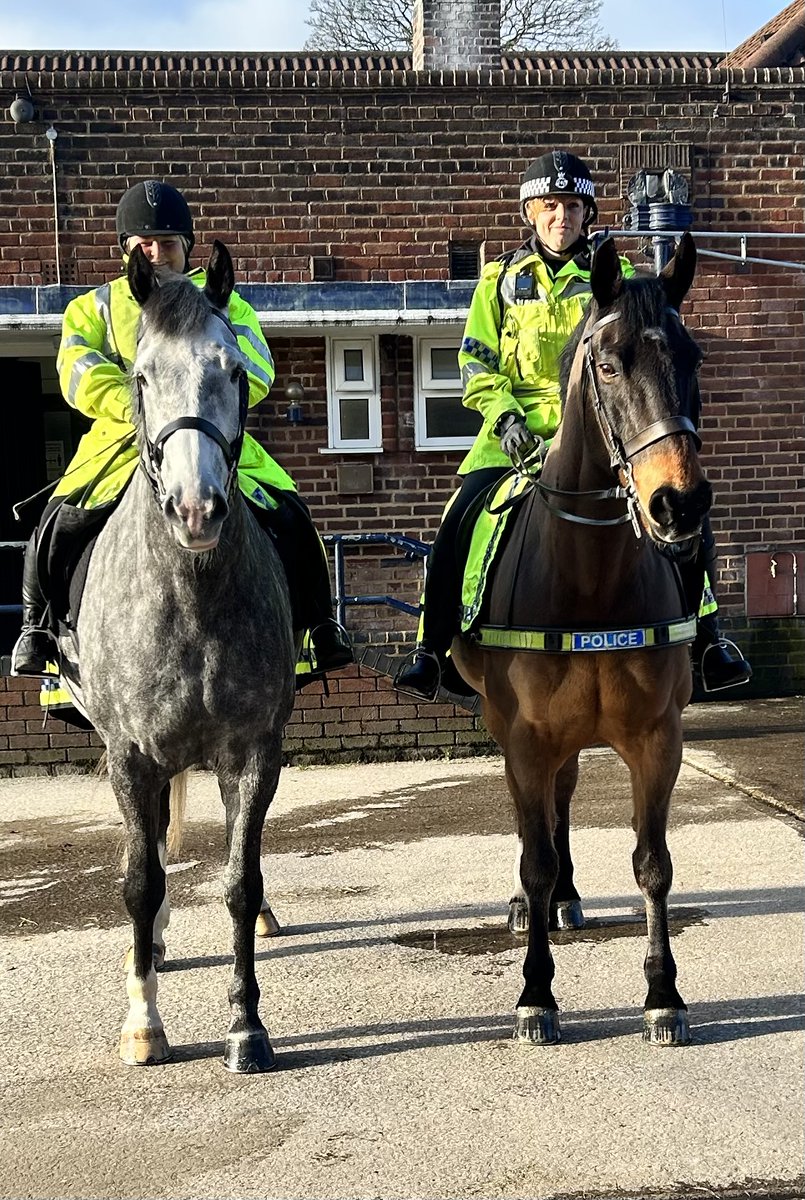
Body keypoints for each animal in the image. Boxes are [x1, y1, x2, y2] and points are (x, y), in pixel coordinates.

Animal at [66, 241, 296, 1071]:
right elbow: (140, 882)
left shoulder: (253, 754)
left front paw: (246, 1027)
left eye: (232, 369)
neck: (191, 596)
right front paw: (143, 1022)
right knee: (154, 860)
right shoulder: (130, 757)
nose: (197, 510)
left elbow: (237, 881)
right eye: (140, 376)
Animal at [452, 233, 710, 1047]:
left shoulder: (657, 737)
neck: (589, 578)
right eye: (609, 363)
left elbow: (653, 864)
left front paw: (664, 993)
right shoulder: (524, 737)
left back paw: (568, 899)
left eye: (692, 356)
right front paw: (536, 993)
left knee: (563, 800)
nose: (678, 502)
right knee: (534, 824)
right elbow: (532, 857)